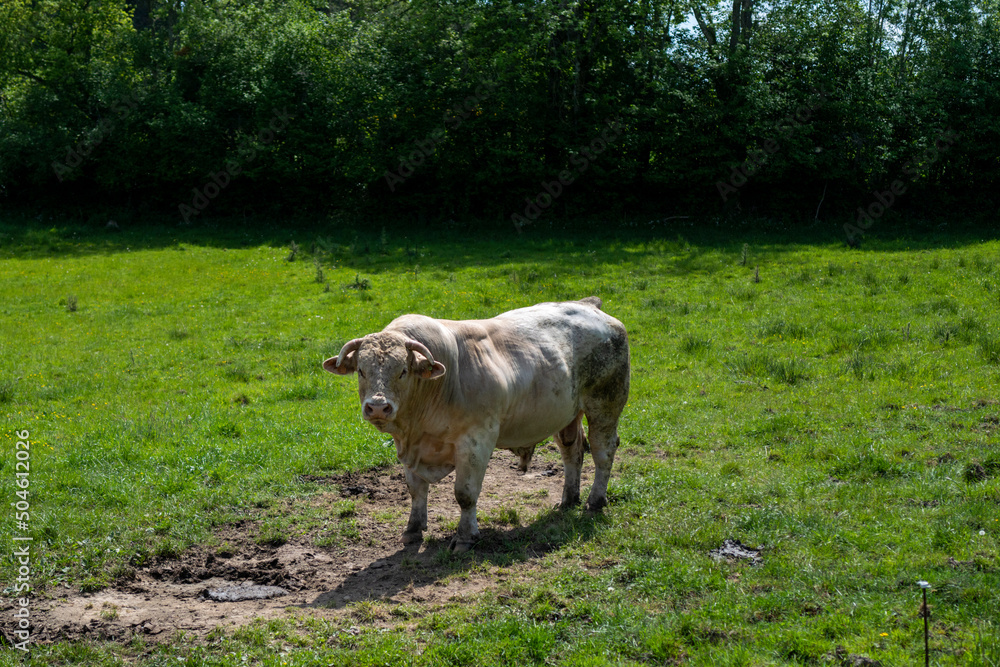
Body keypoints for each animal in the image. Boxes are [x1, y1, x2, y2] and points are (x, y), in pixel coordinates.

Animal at [322, 297, 630, 552]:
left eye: (403, 371)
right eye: (361, 371)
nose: (377, 406)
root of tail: (589, 304)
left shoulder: (477, 440)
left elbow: (465, 494)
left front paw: (465, 537)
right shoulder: (410, 446)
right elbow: (416, 489)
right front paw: (413, 529)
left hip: (605, 404)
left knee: (603, 452)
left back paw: (595, 501)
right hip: (567, 414)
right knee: (572, 452)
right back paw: (568, 499)